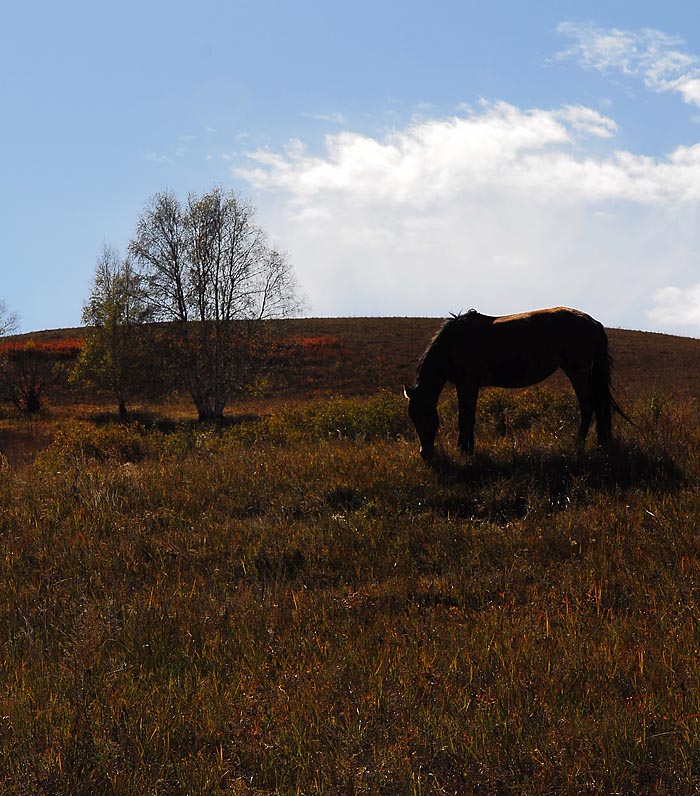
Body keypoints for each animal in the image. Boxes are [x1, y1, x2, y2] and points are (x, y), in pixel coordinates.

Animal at [404, 307, 629, 460]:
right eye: (412, 417)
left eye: (425, 416)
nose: (425, 454)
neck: (454, 343)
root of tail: (593, 322)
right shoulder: (464, 385)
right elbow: (467, 416)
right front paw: (468, 449)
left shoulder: (468, 384)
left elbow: (465, 418)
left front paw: (464, 451)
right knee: (599, 407)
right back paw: (601, 445)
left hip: (577, 371)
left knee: (588, 405)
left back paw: (578, 445)